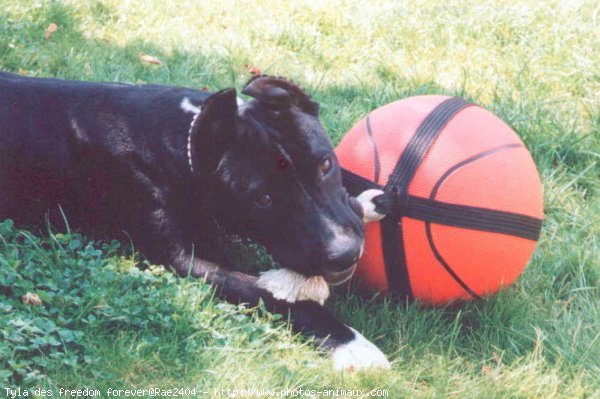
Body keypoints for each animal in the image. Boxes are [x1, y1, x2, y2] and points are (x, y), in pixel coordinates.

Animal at [0, 70, 392, 370]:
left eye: (325, 164)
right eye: (262, 199)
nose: (344, 253)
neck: (185, 139)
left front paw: (366, 201)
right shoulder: (179, 260)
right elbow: (266, 292)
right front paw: (349, 341)